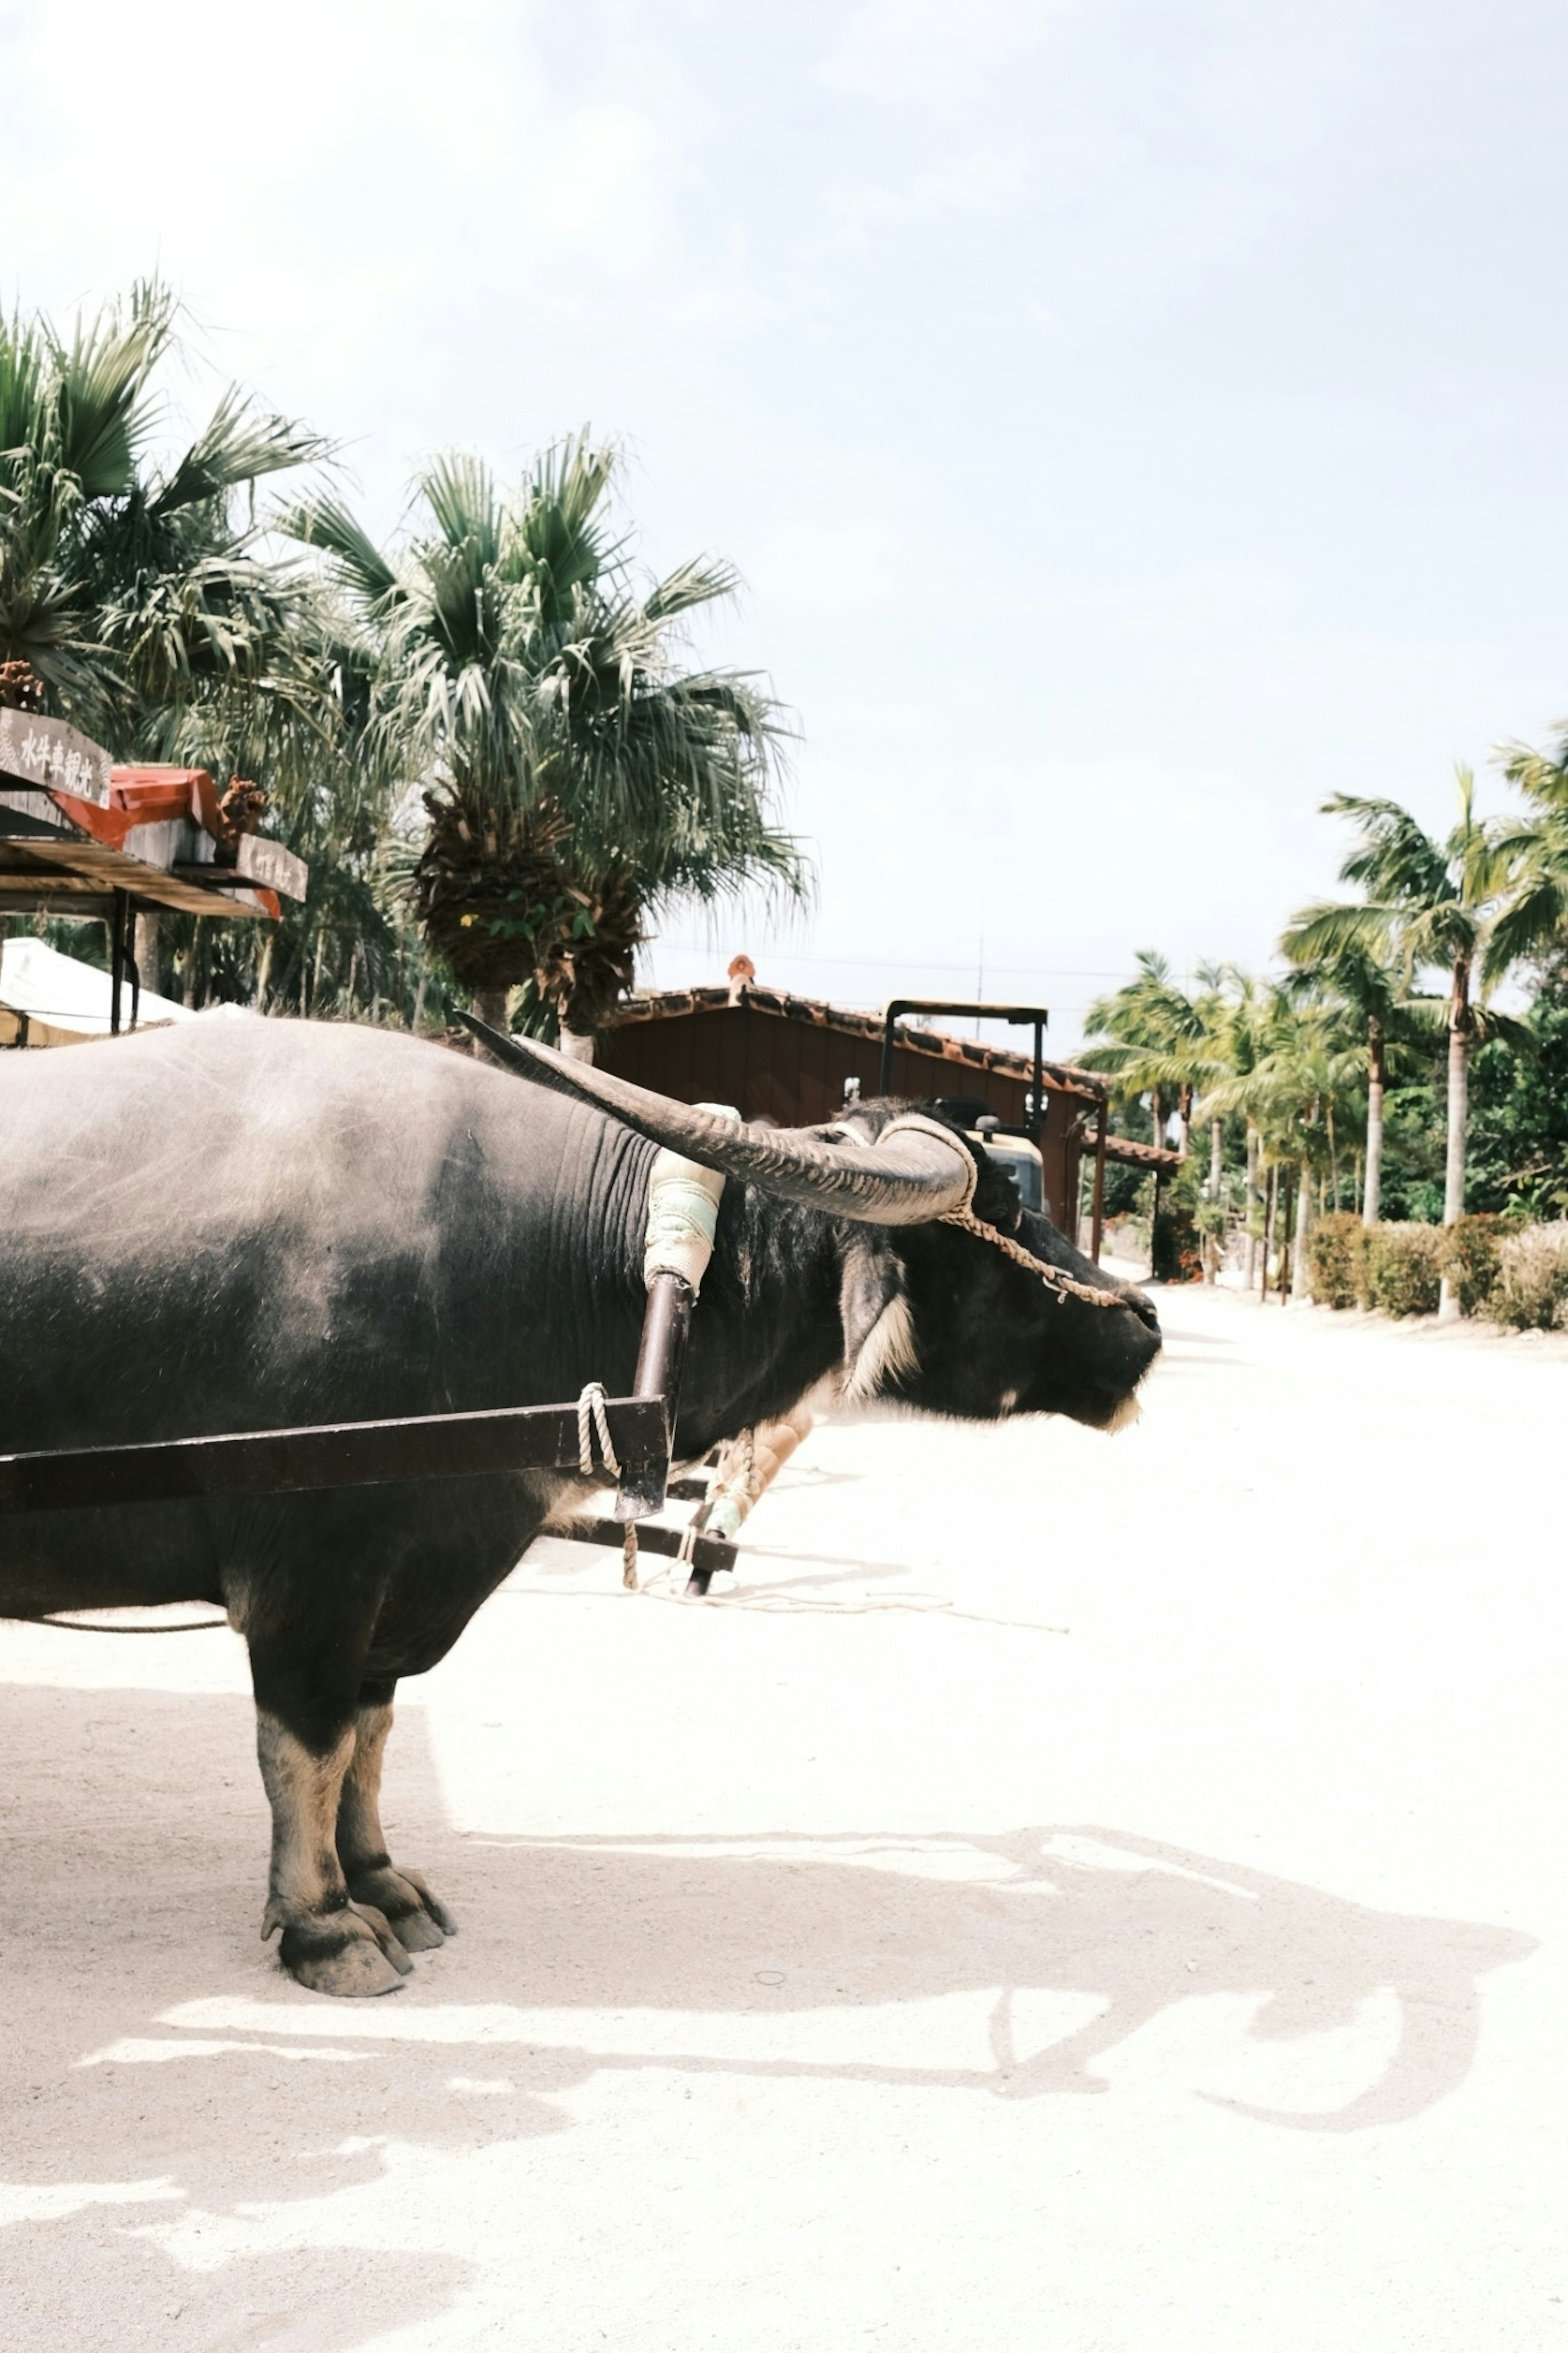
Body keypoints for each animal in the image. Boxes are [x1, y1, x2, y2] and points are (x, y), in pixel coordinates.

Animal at [0, 1021, 1152, 1995]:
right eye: (1002, 1212)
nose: (1142, 1320)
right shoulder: (311, 1577)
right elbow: (308, 1747)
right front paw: (324, 1924)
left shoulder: (411, 1575)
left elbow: (371, 1735)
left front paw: (381, 1883)